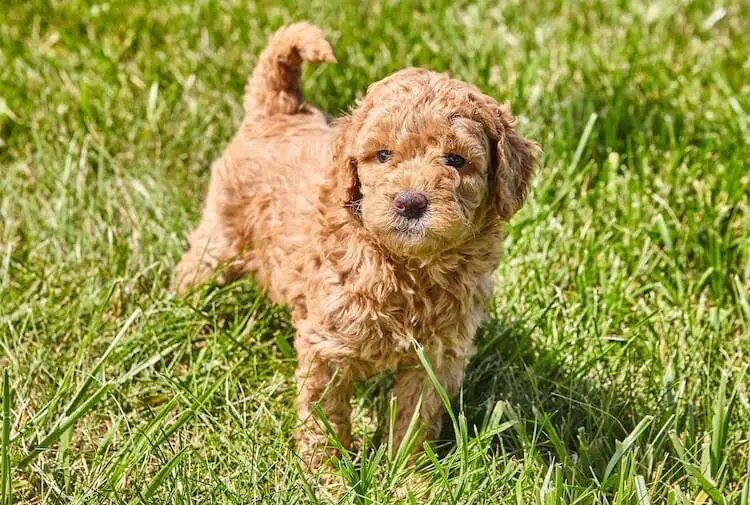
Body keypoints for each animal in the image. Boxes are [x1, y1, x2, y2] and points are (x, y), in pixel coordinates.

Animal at [176, 22, 540, 464]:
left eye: (455, 160)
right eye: (382, 155)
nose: (410, 201)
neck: (408, 268)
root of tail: (280, 109)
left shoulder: (436, 356)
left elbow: (415, 419)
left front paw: (408, 472)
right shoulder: (327, 345)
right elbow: (324, 414)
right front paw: (326, 471)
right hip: (222, 234)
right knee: (196, 267)